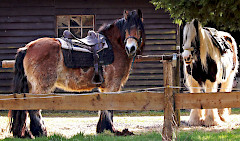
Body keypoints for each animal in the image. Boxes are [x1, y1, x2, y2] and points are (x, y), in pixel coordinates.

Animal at [10, 9, 145, 138]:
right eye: (126, 29)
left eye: (139, 28)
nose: (131, 48)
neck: (114, 46)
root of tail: (27, 48)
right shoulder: (112, 86)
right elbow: (109, 107)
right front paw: (110, 129)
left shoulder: (105, 87)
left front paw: (102, 129)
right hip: (41, 87)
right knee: (34, 108)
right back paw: (40, 132)